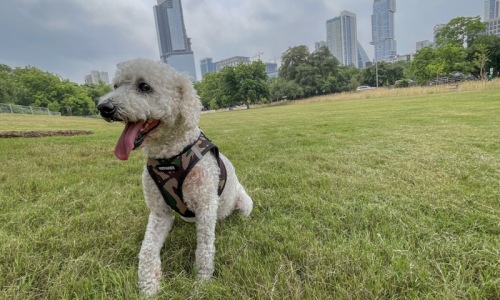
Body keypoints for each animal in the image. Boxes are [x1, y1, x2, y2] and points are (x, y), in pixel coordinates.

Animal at [96, 58, 254, 296]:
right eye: (115, 86)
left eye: (144, 86)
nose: (104, 108)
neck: (170, 156)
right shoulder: (159, 212)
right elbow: (148, 248)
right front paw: (149, 285)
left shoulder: (206, 205)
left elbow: (205, 247)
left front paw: (202, 280)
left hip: (244, 203)